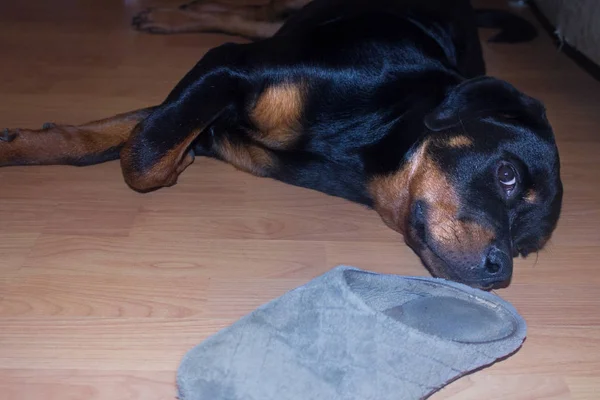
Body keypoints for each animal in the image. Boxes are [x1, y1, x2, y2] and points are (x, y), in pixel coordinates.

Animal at [0, 0, 564, 288]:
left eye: (525, 248)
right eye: (507, 175)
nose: (501, 270)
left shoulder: (211, 107)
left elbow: (122, 139)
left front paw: (17, 142)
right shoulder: (228, 69)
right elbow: (144, 155)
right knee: (256, 14)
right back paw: (169, 15)